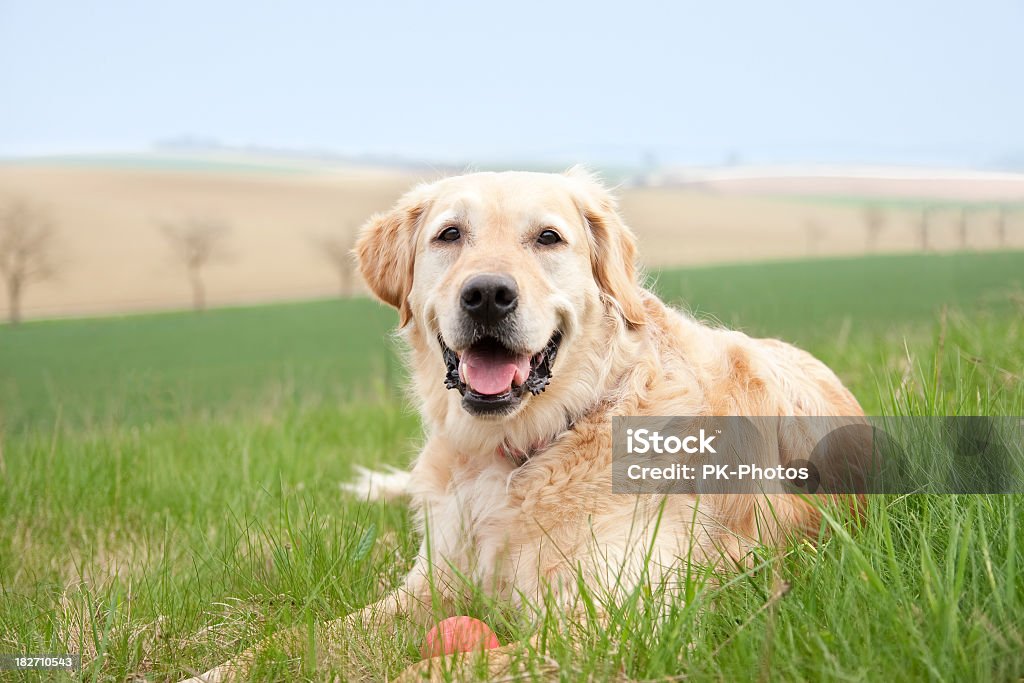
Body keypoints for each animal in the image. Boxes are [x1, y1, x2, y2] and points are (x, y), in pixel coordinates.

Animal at [186, 167, 864, 679]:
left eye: (548, 238)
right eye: (450, 234)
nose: (487, 294)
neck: (526, 447)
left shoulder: (617, 618)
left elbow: (435, 668)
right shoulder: (428, 586)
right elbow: (290, 640)